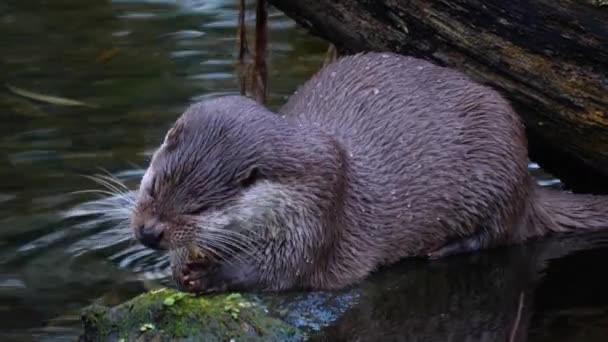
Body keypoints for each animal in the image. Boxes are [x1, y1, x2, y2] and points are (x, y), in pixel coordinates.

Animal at [128, 52, 608, 292]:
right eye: (151, 187)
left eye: (198, 209)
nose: (148, 232)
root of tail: (530, 183)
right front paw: (179, 267)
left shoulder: (319, 215)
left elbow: (282, 271)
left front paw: (211, 275)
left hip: (499, 163)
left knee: (500, 232)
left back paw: (443, 248)